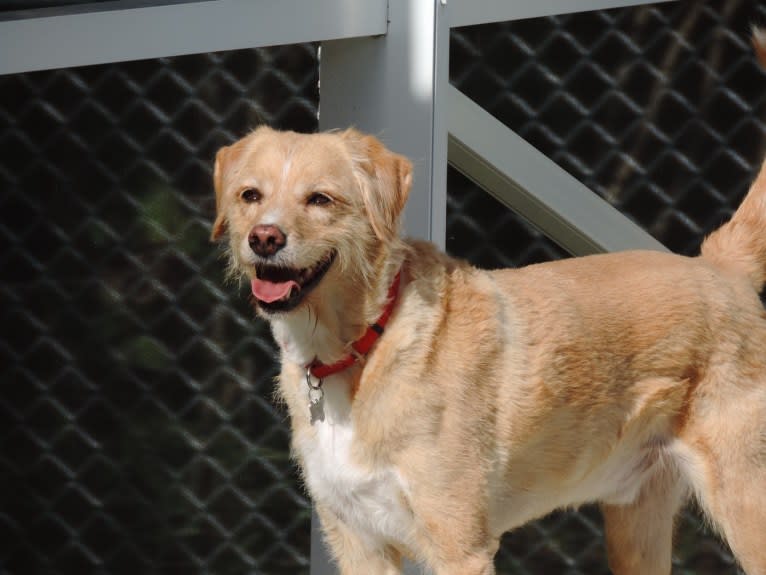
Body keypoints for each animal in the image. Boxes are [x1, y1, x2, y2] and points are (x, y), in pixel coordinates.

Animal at [212, 38, 766, 572]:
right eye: (250, 196)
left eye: (320, 200)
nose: (264, 239)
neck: (365, 346)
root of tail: (720, 266)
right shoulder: (358, 541)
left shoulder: (459, 546)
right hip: (635, 524)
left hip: (745, 502)